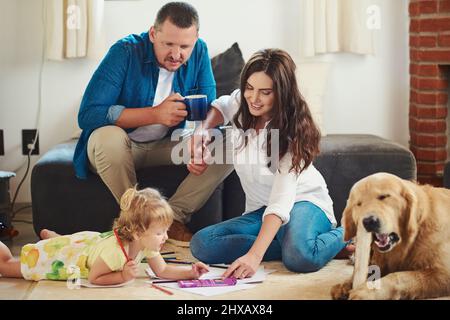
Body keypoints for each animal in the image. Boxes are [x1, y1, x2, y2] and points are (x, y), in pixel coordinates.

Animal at [330, 172, 450, 300]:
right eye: (358, 204)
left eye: (384, 196)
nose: (368, 221)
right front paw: (346, 284)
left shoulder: (444, 271)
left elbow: (399, 276)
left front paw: (368, 290)